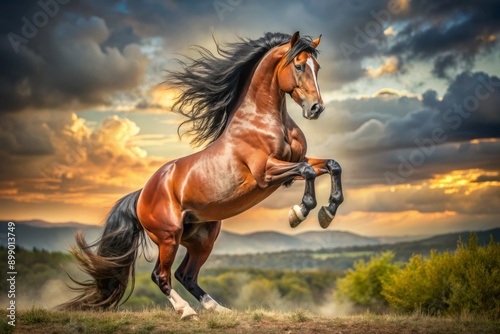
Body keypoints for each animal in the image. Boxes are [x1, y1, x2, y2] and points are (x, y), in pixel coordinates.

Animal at [59, 32, 344, 320]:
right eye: (299, 65)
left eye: (317, 67)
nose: (316, 108)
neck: (263, 120)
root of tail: (142, 194)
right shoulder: (266, 172)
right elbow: (308, 172)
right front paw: (299, 213)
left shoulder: (292, 165)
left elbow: (332, 165)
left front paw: (328, 212)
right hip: (168, 236)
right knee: (161, 275)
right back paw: (186, 311)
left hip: (203, 238)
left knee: (186, 275)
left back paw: (218, 308)